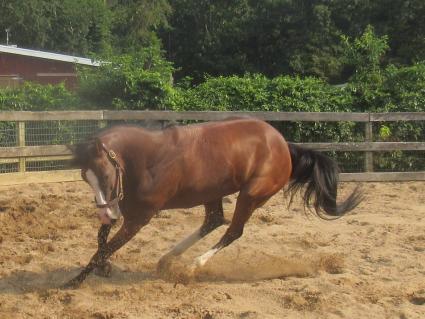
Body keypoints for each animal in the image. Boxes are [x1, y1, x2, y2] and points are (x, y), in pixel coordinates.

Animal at [63, 117, 362, 290]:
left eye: (104, 174)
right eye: (85, 176)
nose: (104, 213)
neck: (149, 160)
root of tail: (284, 145)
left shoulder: (139, 218)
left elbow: (105, 247)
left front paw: (74, 281)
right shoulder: (122, 210)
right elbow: (102, 241)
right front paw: (103, 268)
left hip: (251, 195)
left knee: (232, 230)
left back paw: (192, 267)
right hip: (213, 193)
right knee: (214, 220)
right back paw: (168, 259)